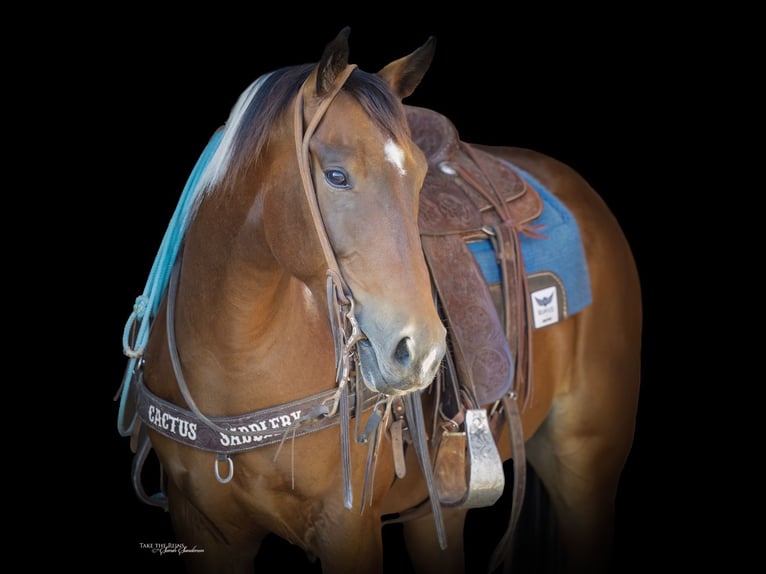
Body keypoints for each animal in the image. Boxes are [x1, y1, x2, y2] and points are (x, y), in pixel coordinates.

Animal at [116, 27, 641, 574]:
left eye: (419, 178)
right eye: (336, 176)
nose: (423, 352)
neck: (236, 361)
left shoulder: (348, 528)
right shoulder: (204, 528)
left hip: (584, 464)